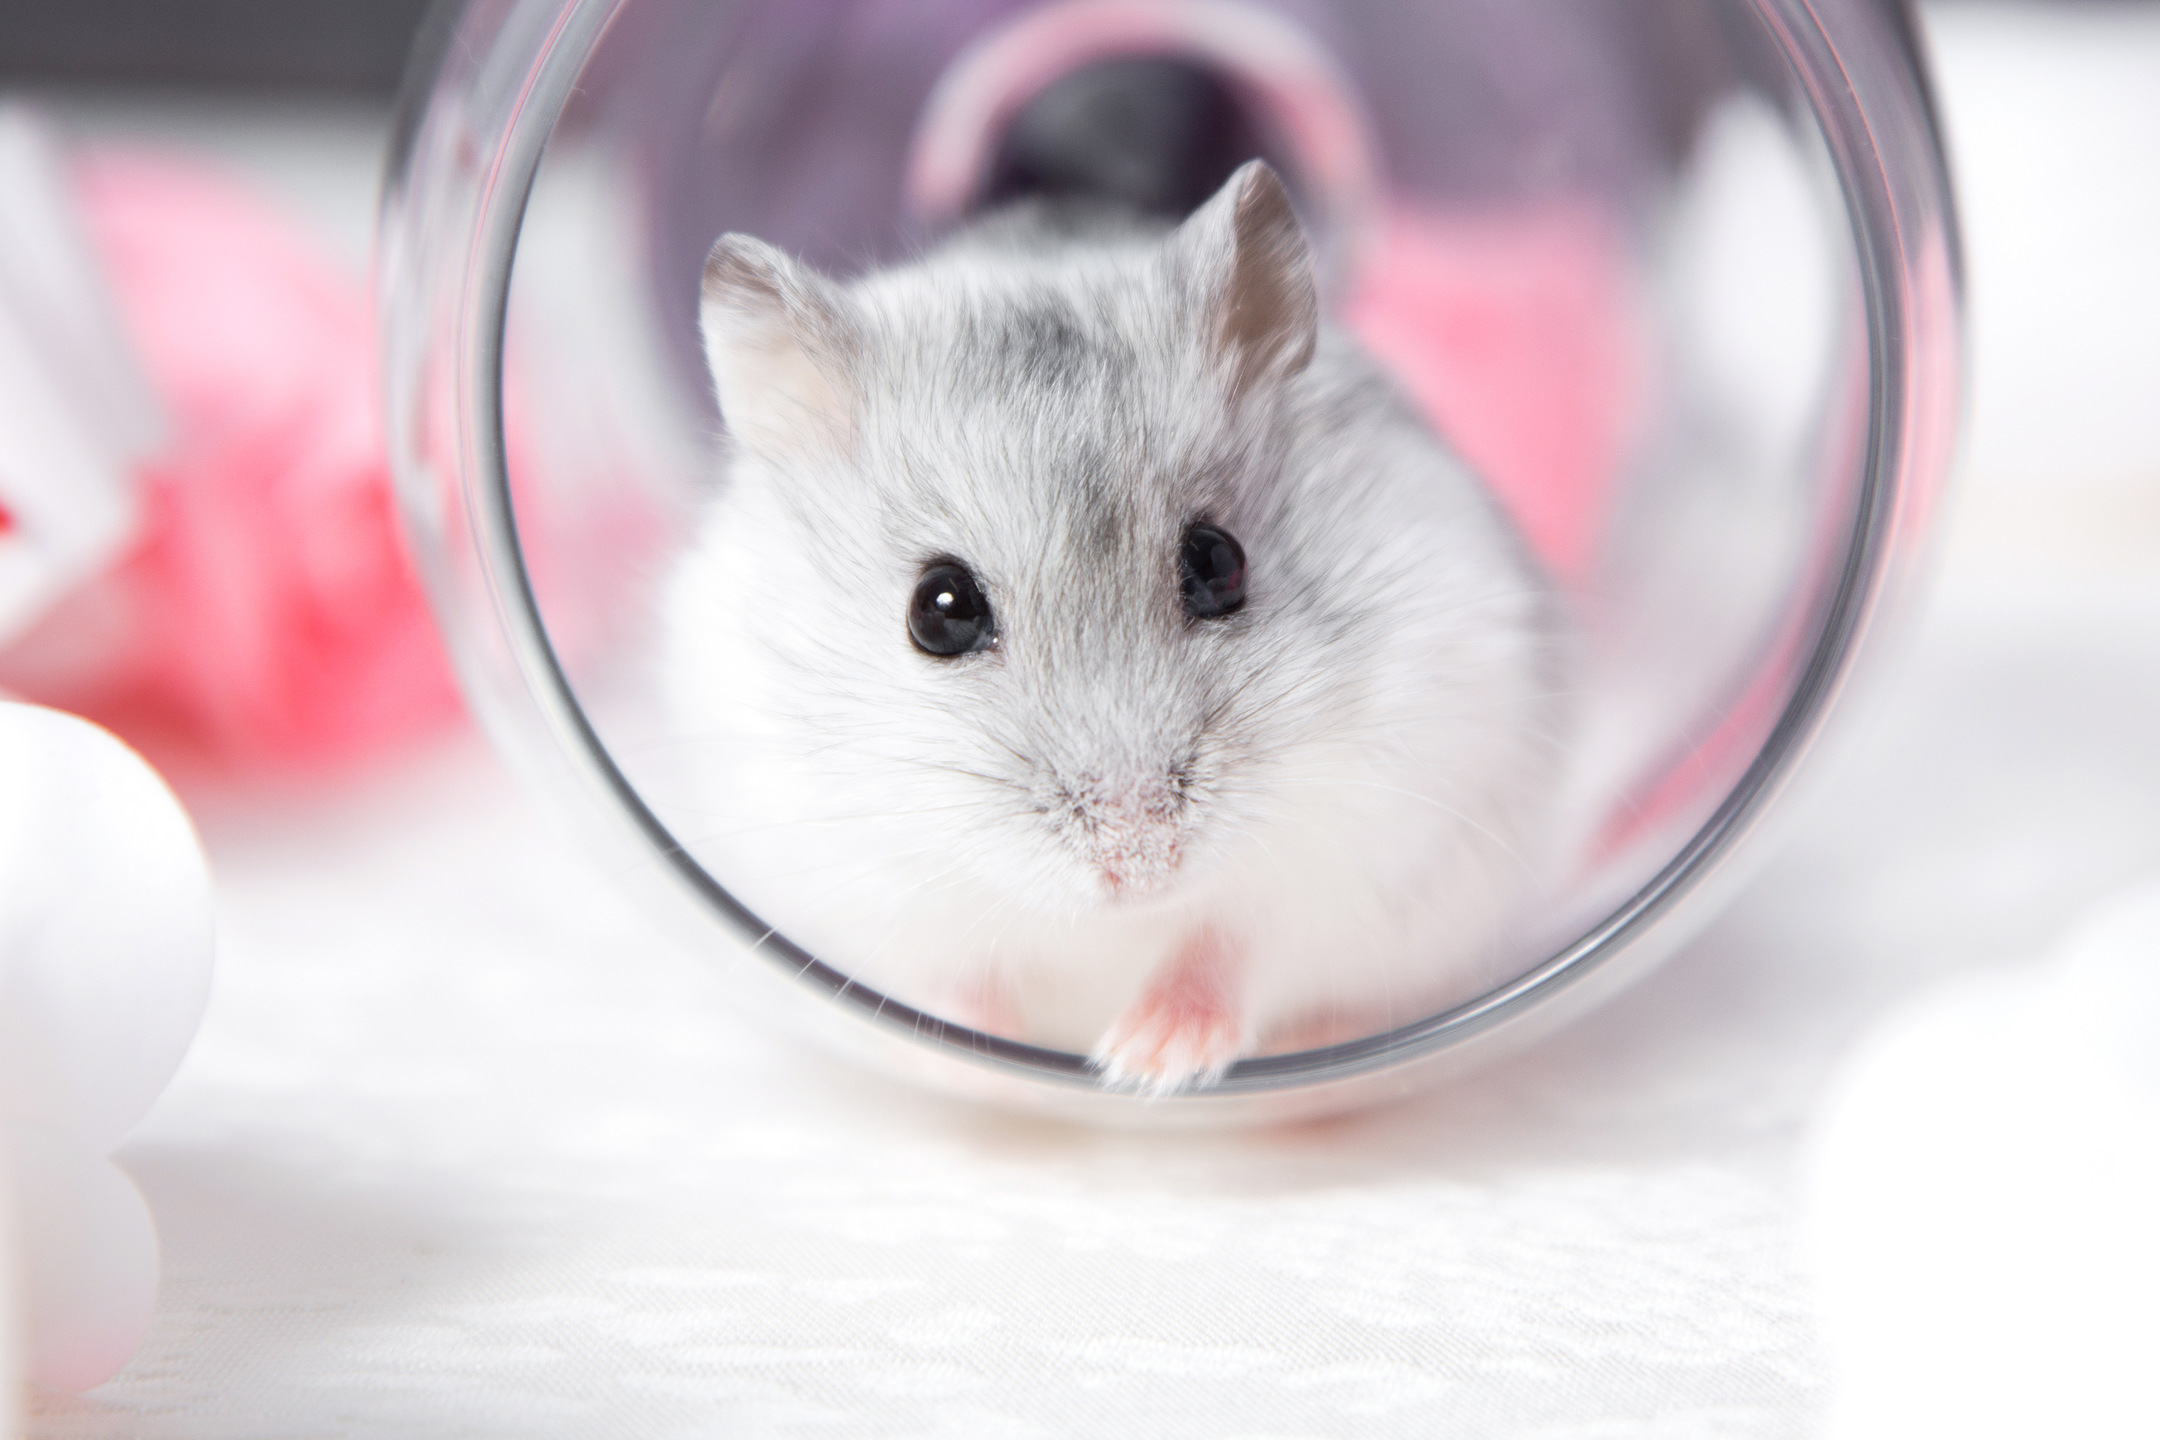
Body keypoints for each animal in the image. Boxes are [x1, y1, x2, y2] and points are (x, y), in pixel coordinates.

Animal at [659, 161, 1569, 1094]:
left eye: (1219, 562)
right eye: (939, 610)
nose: (1141, 867)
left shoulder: (1363, 846)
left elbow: (1230, 947)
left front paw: (1143, 1064)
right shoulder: (856, 882)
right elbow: (947, 978)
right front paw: (978, 1064)